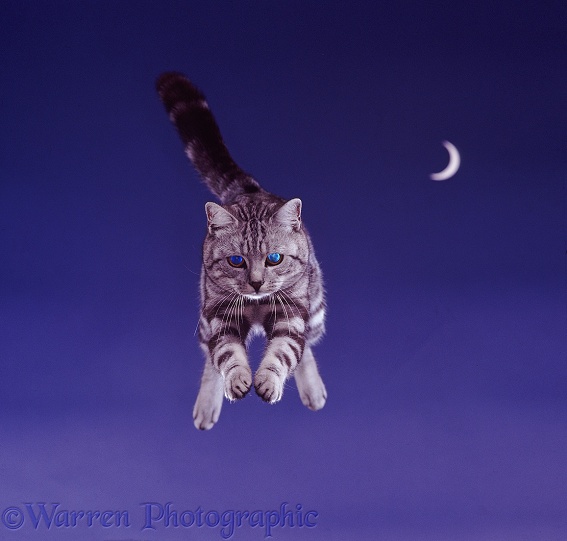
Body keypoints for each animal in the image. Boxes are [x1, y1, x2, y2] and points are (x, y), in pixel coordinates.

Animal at [156, 71, 328, 428]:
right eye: (236, 261)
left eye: (274, 259)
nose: (257, 283)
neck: (257, 306)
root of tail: (250, 188)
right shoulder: (220, 316)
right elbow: (227, 355)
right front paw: (236, 380)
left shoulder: (292, 314)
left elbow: (284, 352)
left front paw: (268, 381)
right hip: (205, 318)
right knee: (210, 357)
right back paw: (207, 406)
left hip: (316, 310)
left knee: (306, 348)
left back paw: (313, 391)